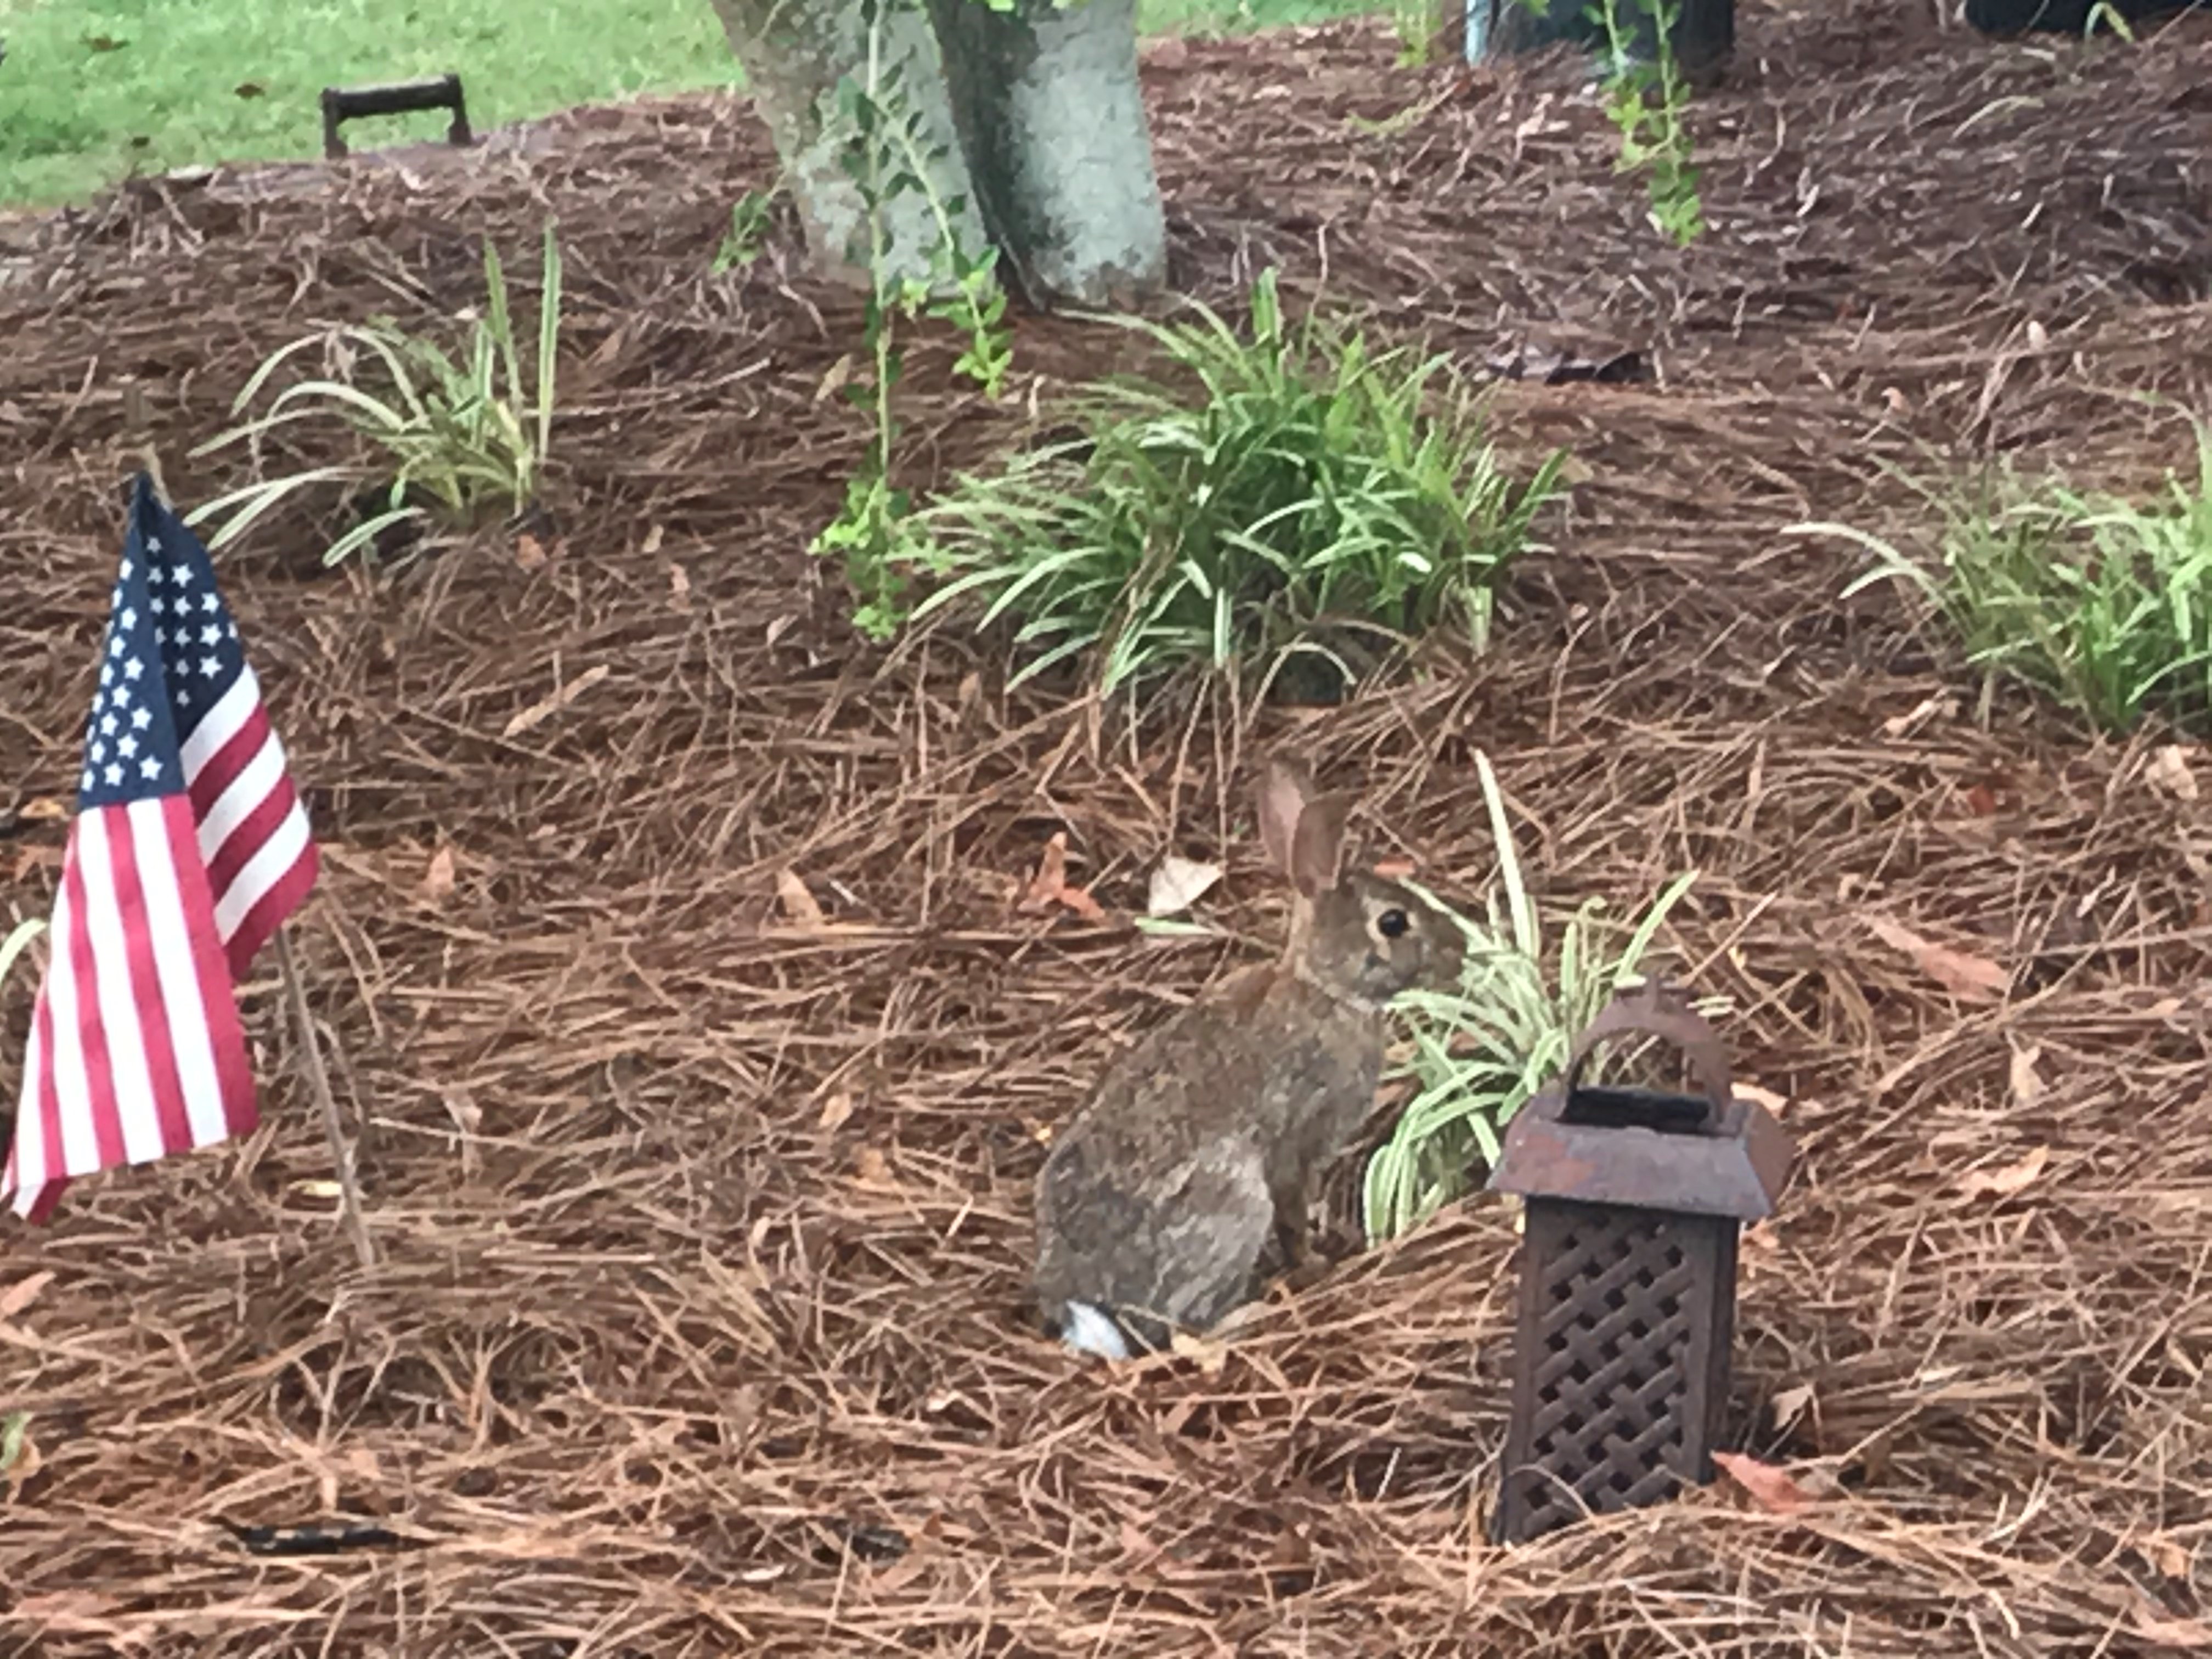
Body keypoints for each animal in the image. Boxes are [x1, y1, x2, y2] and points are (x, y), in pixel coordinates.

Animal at [1031, 755, 1465, 1360]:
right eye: (1394, 922)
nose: (1460, 951)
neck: (1324, 990)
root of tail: (1086, 1307)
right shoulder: (1299, 1139)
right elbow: (1292, 1214)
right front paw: (1314, 1262)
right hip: (1234, 1209)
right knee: (1183, 1327)